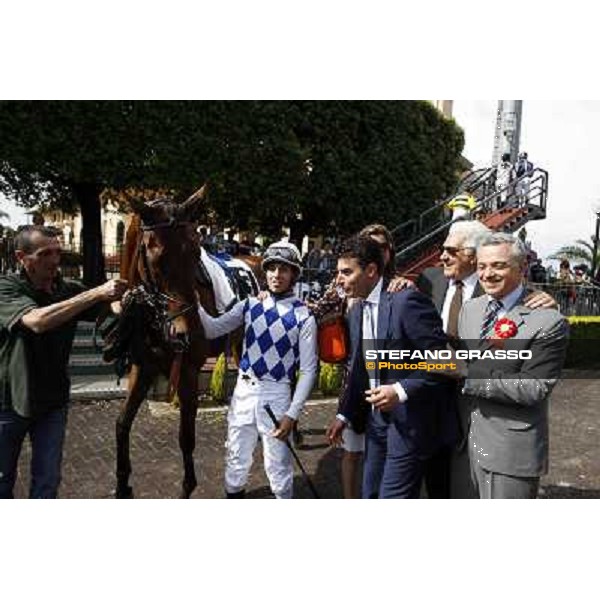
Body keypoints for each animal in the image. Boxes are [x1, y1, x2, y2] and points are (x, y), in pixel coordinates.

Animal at [113, 185, 216, 500]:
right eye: (156, 258)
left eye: (196, 252)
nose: (184, 332)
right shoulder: (142, 367)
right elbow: (122, 424)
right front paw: (122, 484)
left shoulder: (188, 370)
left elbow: (186, 436)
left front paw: (188, 485)